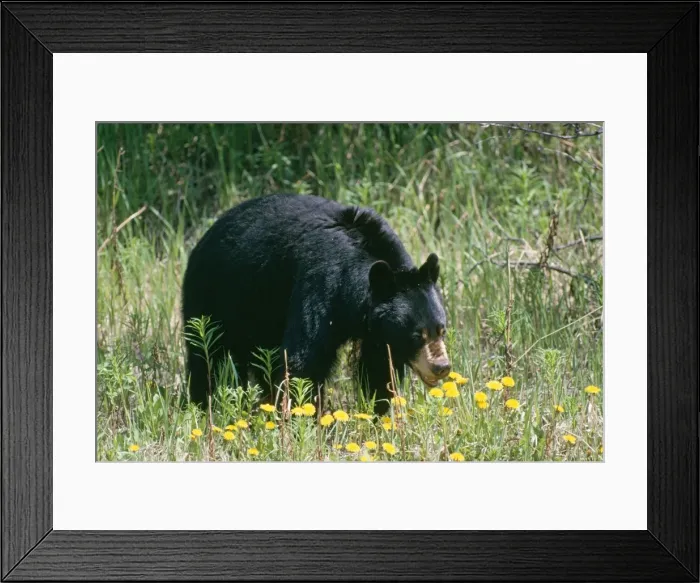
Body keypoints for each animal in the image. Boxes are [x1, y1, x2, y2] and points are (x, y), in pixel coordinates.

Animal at [181, 193, 451, 415]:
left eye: (442, 330)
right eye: (416, 335)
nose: (441, 367)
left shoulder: (377, 330)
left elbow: (380, 366)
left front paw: (379, 414)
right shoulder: (322, 281)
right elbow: (305, 358)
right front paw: (303, 416)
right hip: (214, 294)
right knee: (207, 355)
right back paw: (204, 406)